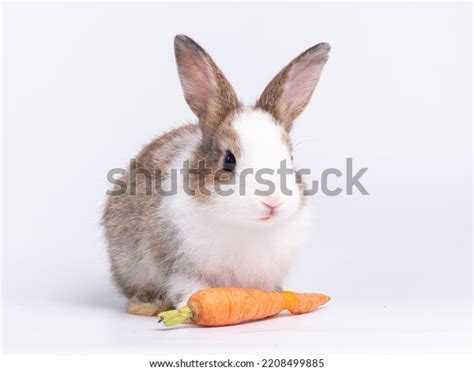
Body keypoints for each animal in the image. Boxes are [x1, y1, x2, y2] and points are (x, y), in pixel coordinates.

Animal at [101, 35, 330, 316]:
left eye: (290, 158)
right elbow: (190, 291)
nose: (272, 202)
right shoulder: (181, 269)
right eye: (229, 159)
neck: (248, 226)